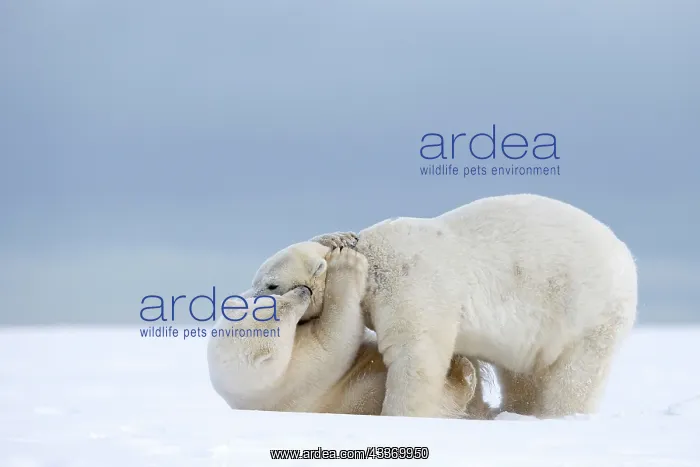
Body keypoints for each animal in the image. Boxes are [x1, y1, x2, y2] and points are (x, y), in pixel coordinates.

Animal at [207, 247, 489, 418]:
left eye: (272, 303)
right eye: (282, 314)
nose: (303, 292)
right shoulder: (302, 375)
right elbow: (337, 337)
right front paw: (347, 263)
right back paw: (463, 369)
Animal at [250, 193, 638, 419]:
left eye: (269, 284)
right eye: (259, 282)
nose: (251, 304)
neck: (374, 261)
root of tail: (625, 255)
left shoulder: (410, 286)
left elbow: (415, 354)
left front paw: (400, 415)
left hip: (588, 312)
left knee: (575, 376)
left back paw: (558, 415)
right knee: (523, 375)